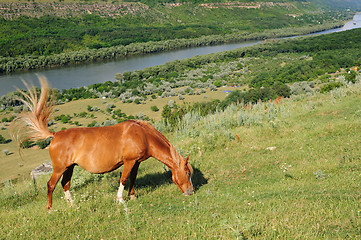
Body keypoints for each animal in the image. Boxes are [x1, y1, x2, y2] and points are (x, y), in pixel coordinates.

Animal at [9, 76, 193, 209]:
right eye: (187, 173)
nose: (191, 192)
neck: (143, 134)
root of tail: (55, 135)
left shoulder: (136, 163)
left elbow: (133, 179)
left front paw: (132, 196)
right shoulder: (129, 161)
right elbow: (124, 179)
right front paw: (120, 200)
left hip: (69, 167)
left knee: (65, 184)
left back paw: (72, 205)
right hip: (59, 168)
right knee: (51, 185)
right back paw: (50, 209)